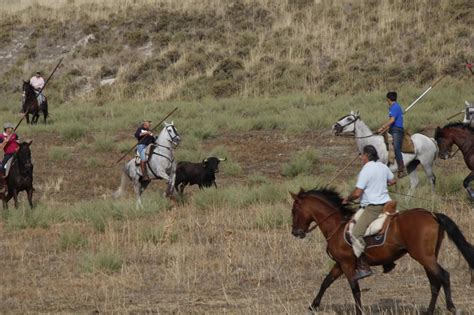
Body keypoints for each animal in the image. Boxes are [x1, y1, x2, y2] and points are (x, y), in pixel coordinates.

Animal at [288, 188, 474, 315]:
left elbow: (354, 289)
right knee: (435, 283)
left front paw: (359, 311)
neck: (337, 226)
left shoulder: (347, 264)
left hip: (423, 256)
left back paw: (452, 307)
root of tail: (432, 215)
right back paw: (429, 311)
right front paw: (313, 305)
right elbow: (326, 282)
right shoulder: (340, 264)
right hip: (428, 257)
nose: (296, 232)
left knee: (443, 276)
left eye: (294, 210)